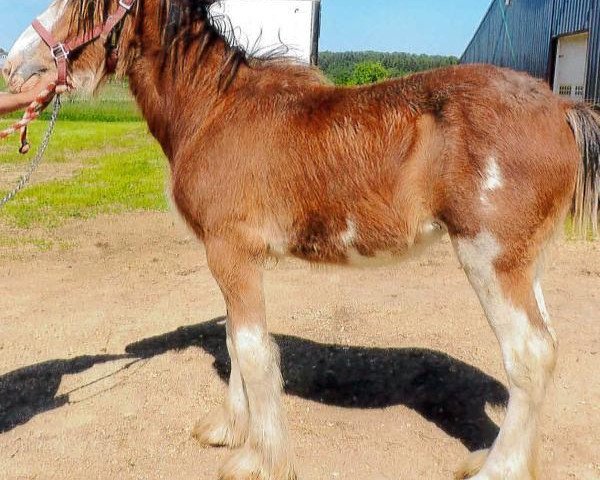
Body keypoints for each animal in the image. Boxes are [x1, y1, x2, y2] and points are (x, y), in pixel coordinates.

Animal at [4, 0, 600, 480]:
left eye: (84, 1)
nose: (15, 66)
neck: (214, 110)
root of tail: (561, 107)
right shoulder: (235, 260)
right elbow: (235, 342)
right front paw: (229, 430)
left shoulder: (230, 254)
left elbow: (252, 350)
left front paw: (257, 460)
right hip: (525, 264)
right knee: (545, 350)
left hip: (489, 259)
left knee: (528, 354)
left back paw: (499, 470)